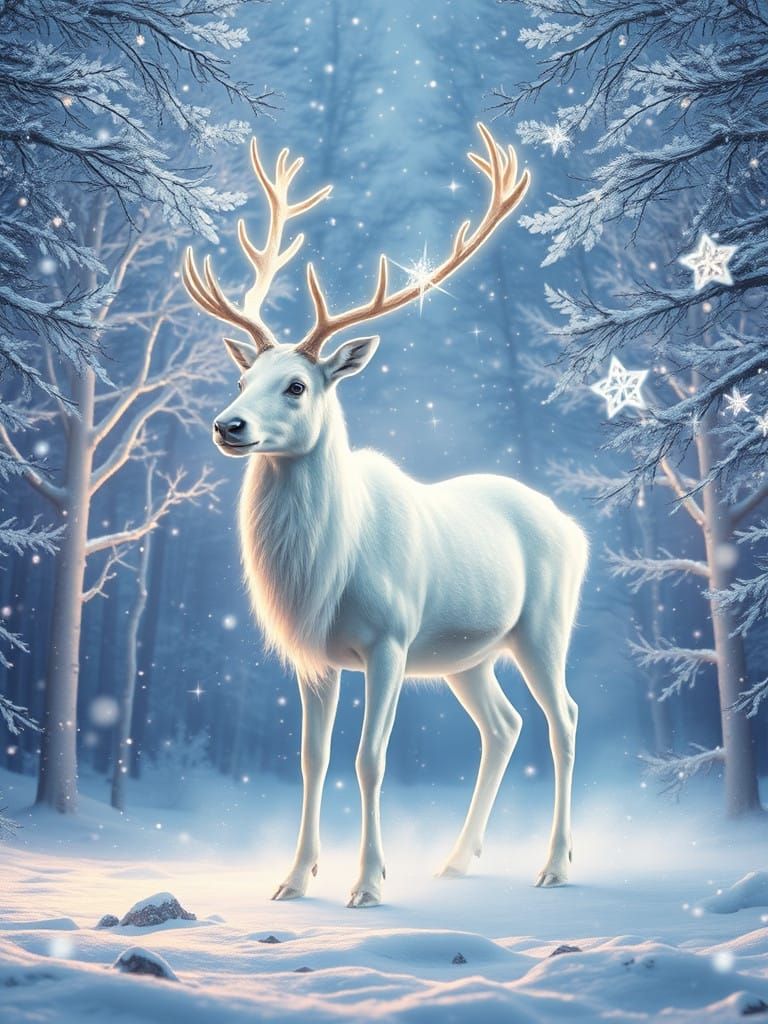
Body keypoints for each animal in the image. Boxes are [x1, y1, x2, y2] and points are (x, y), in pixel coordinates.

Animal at [182, 123, 588, 908]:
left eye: (297, 384)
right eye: (243, 376)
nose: (227, 425)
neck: (328, 571)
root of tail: (576, 528)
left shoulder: (390, 640)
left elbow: (370, 758)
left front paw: (367, 883)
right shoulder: (313, 658)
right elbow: (311, 758)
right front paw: (293, 879)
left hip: (543, 624)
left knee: (564, 720)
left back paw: (555, 865)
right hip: (469, 654)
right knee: (504, 725)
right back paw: (457, 860)